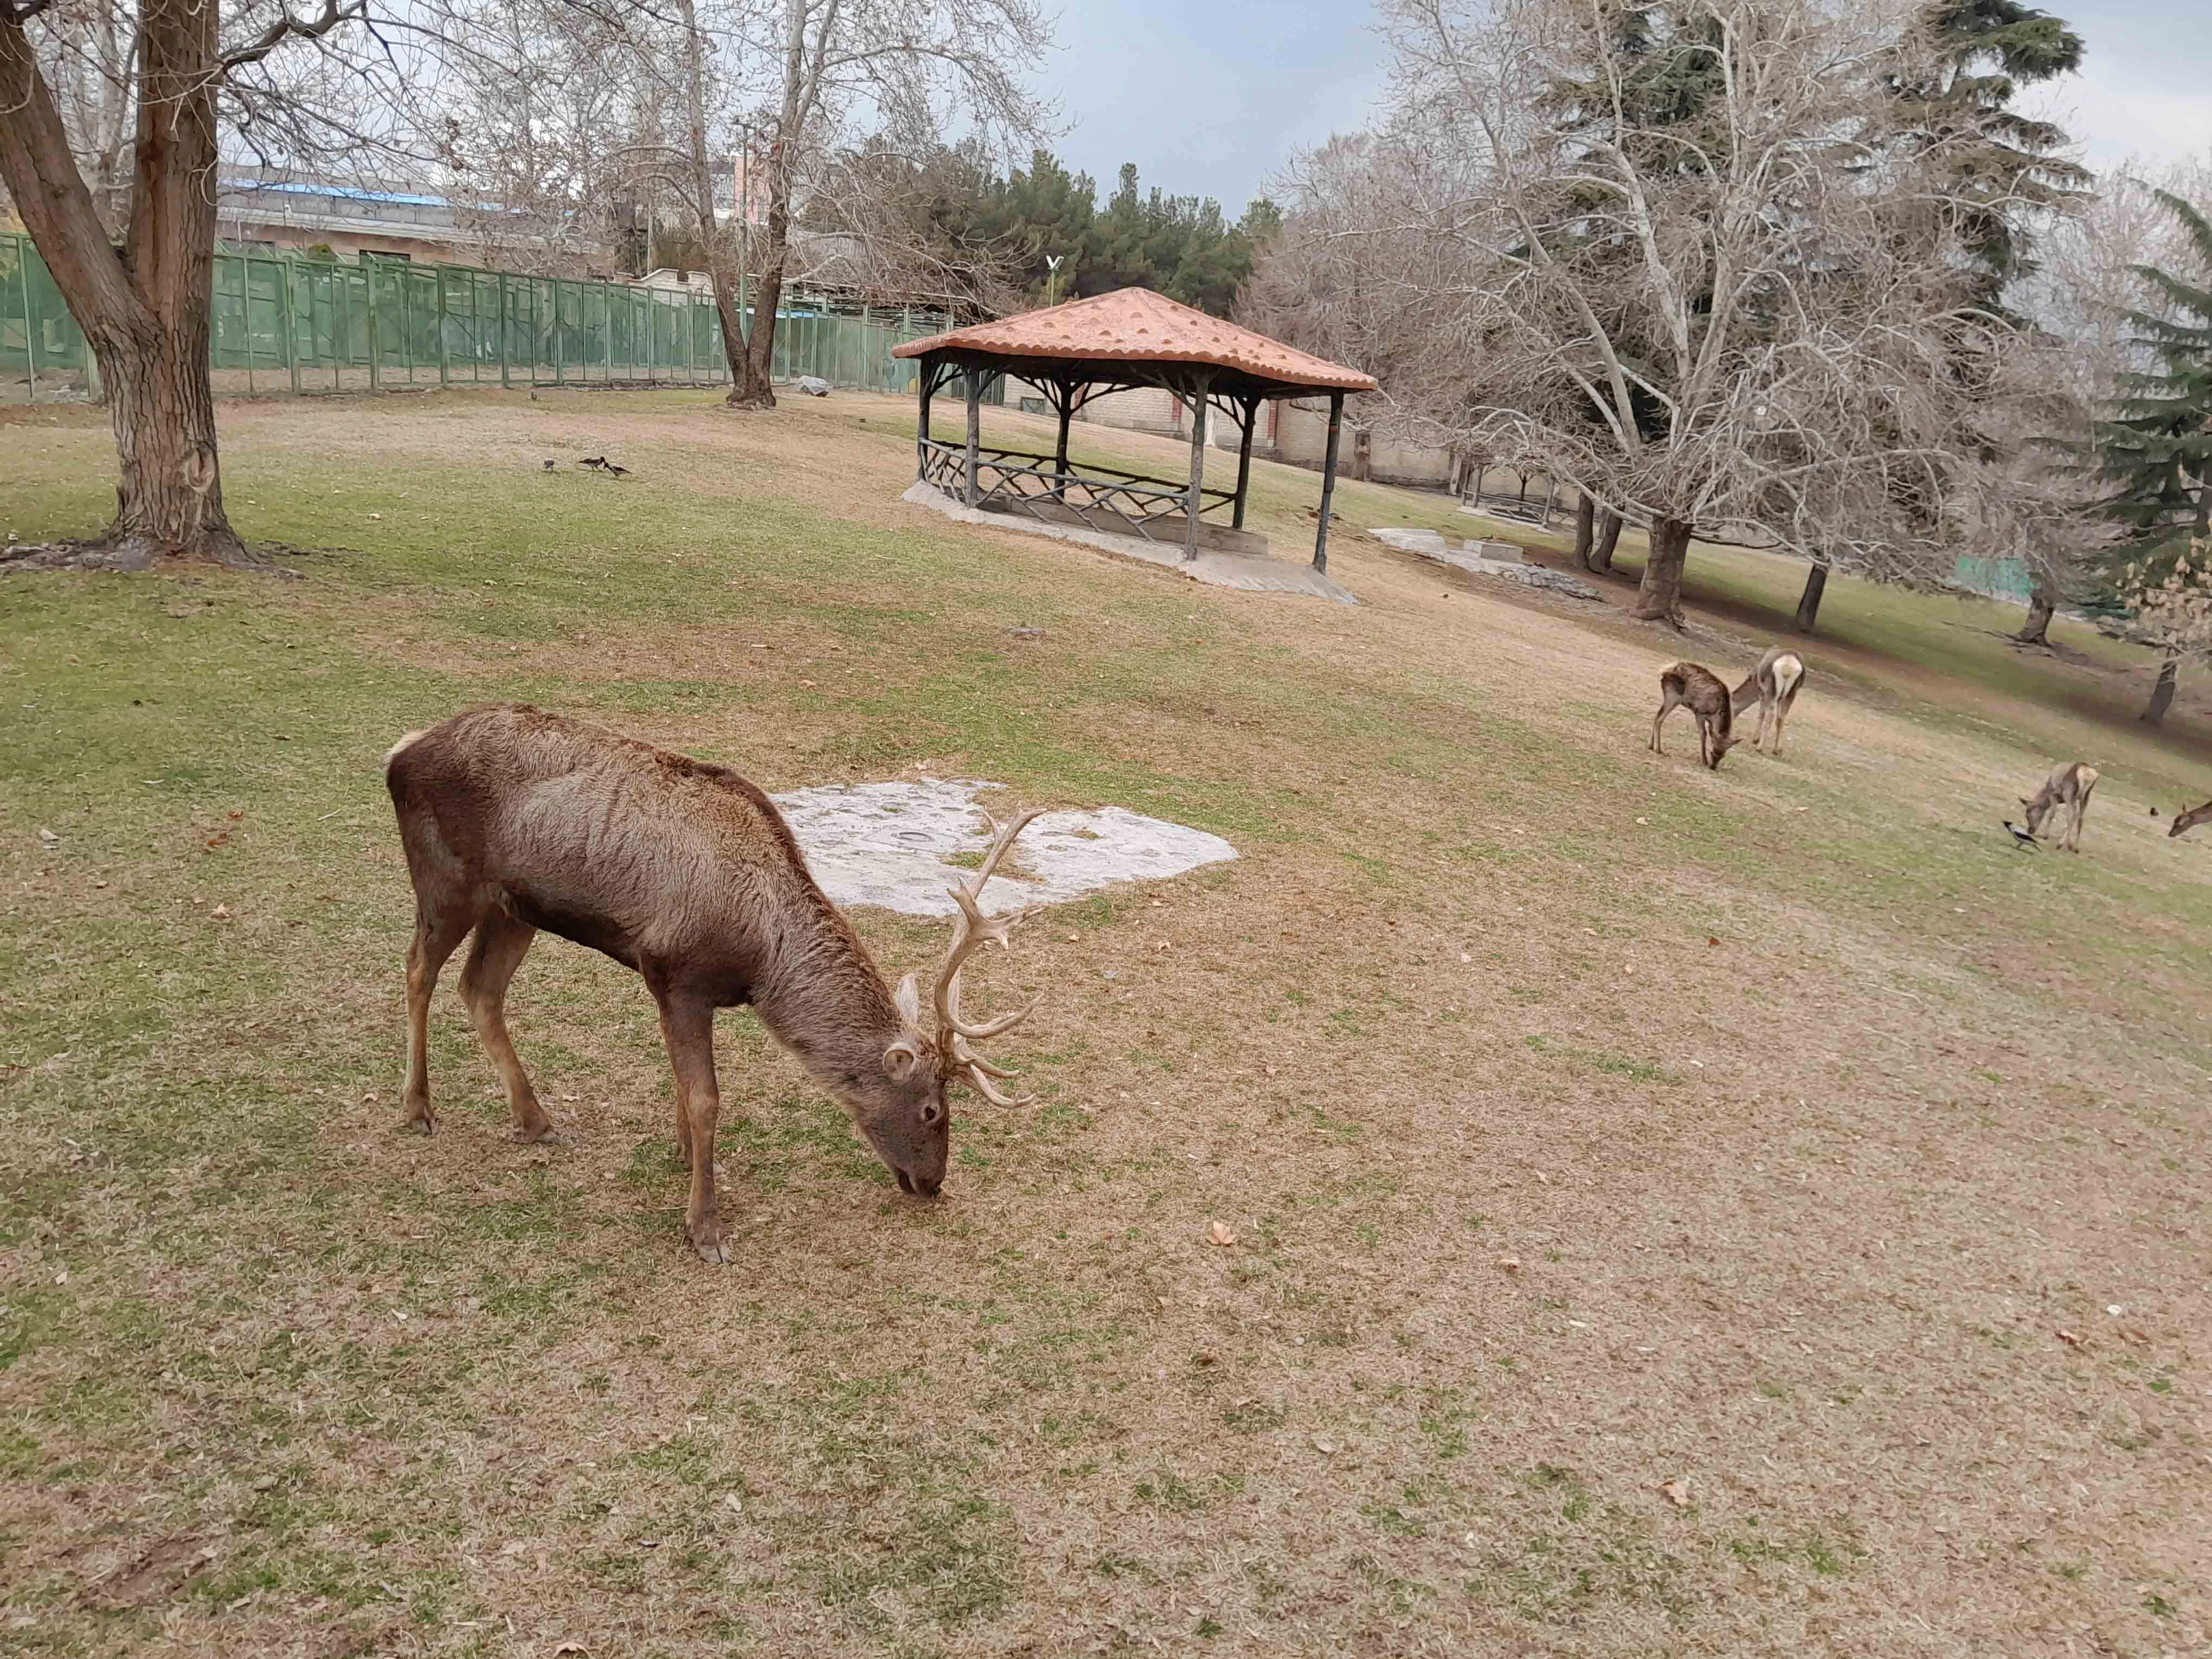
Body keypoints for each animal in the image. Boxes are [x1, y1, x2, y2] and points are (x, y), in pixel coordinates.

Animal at [387, 708, 1044, 1265]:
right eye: (933, 1109)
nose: (932, 1184)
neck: (760, 958)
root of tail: (402, 750)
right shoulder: (677, 974)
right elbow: (706, 1099)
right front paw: (706, 1228)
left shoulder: (679, 990)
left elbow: (684, 1087)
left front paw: (689, 1163)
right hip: (446, 878)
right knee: (419, 969)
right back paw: (418, 1108)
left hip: (513, 908)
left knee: (480, 990)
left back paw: (535, 1120)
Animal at [1654, 664, 1734, 774]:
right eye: (1712, 751)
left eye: (1723, 756)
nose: (1713, 767)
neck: (1716, 715)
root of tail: (1665, 670)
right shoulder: (1700, 712)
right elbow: (1703, 733)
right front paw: (1704, 760)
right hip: (1674, 696)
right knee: (1660, 718)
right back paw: (1659, 750)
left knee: (1657, 716)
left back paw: (1651, 746)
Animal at [1725, 646, 1814, 756]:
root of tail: (1788, 666)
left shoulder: (1762, 694)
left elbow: (1761, 714)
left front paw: (1755, 739)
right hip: (1791, 693)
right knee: (1781, 718)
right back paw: (1776, 750)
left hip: (1772, 691)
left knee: (1771, 716)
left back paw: (1760, 748)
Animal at [2017, 761, 2097, 849]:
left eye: (2028, 814)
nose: (2030, 830)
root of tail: (2088, 776)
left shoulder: (2053, 794)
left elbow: (2052, 814)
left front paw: (2045, 836)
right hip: (2085, 797)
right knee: (2080, 818)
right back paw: (2075, 847)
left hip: (2069, 793)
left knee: (2071, 816)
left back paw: (2062, 844)